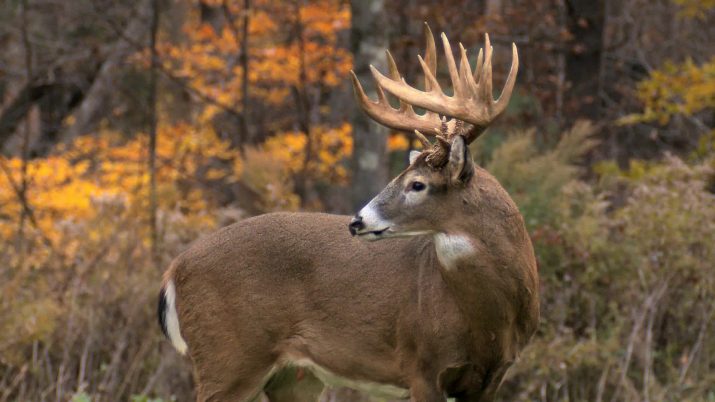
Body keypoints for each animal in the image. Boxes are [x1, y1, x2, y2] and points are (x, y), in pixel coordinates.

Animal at [158, 24, 539, 402]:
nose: (358, 221)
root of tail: (173, 270)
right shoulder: (422, 365)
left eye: (417, 184)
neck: (490, 322)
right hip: (228, 359)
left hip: (293, 377)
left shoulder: (493, 376)